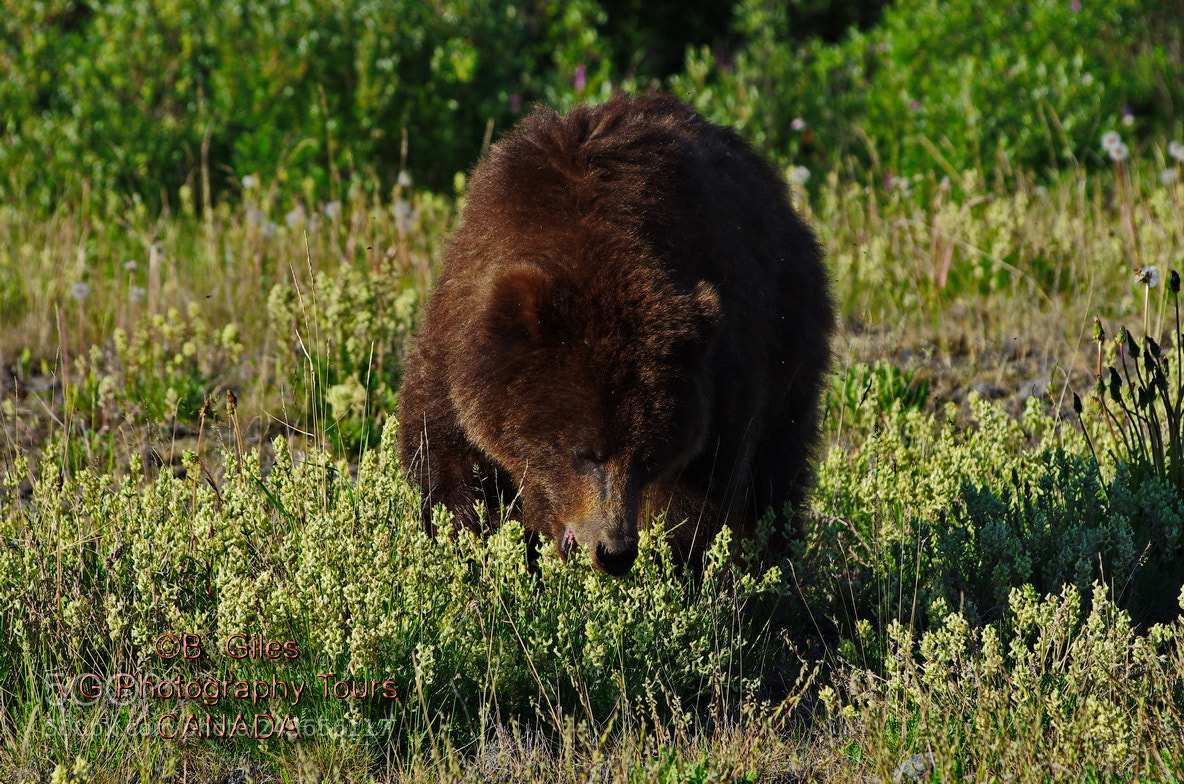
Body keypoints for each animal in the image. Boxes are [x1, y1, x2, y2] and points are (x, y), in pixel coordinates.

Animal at [397, 96, 833, 577]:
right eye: (585, 452)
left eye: (649, 457)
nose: (614, 550)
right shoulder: (459, 334)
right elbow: (447, 457)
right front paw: (474, 542)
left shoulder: (722, 373)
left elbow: (700, 490)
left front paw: (670, 563)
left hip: (791, 341)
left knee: (774, 475)